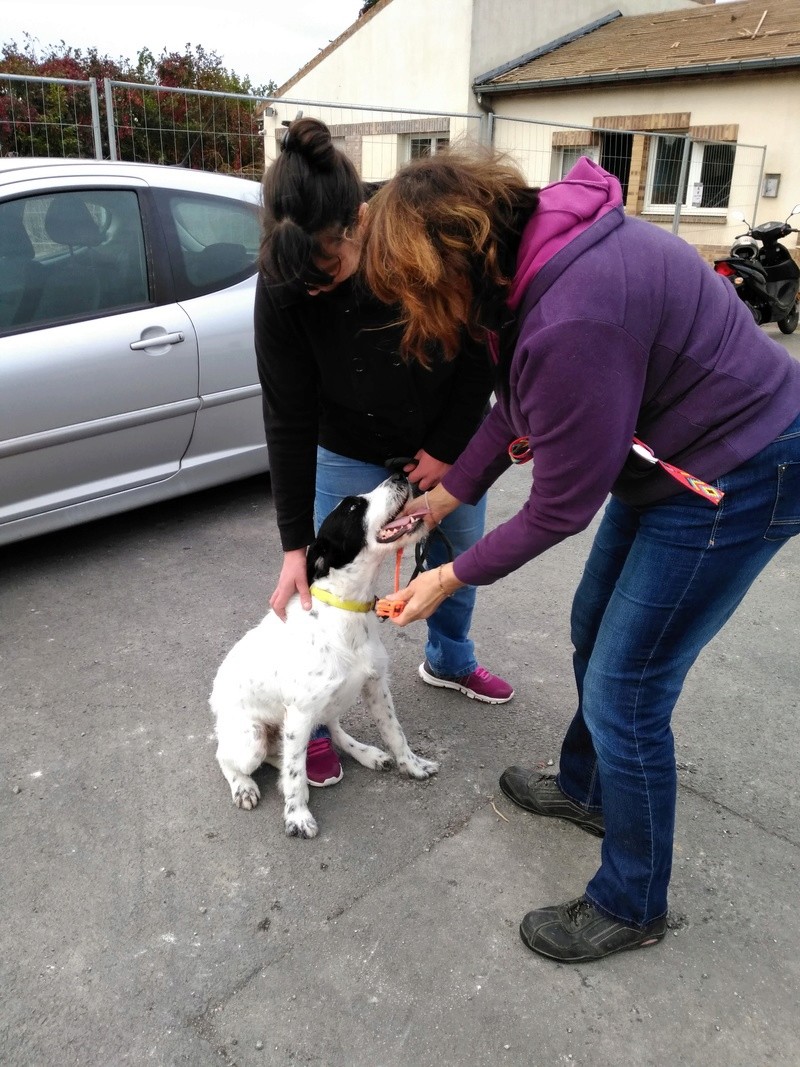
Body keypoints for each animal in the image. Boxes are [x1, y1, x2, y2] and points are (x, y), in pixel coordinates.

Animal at [208, 471, 439, 836]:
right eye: (353, 507)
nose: (401, 473)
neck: (347, 610)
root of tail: (215, 702)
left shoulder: (376, 686)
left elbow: (395, 732)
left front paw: (412, 765)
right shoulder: (300, 713)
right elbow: (295, 774)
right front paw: (297, 815)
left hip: (325, 707)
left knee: (324, 735)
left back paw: (367, 753)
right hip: (251, 738)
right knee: (231, 757)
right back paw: (244, 786)